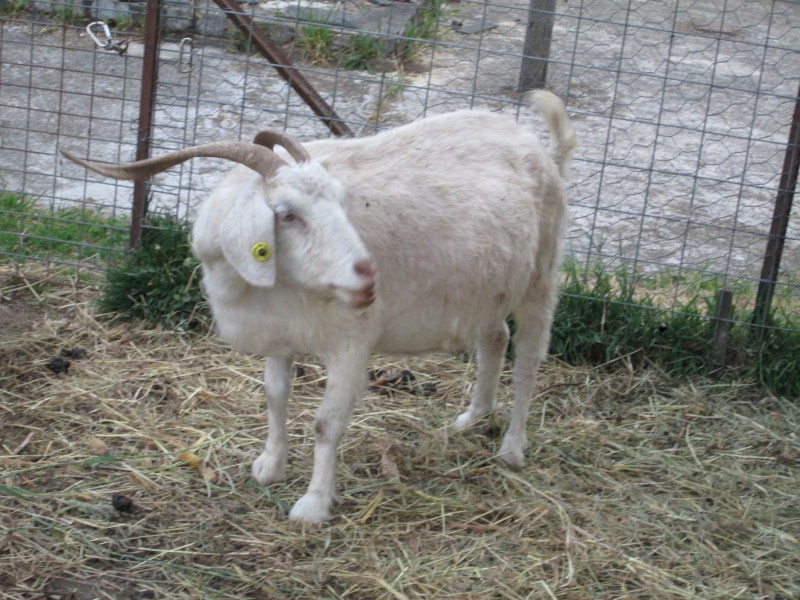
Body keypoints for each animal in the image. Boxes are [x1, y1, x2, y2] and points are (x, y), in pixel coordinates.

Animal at [61, 91, 575, 524]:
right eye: (286, 214)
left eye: (342, 202)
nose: (367, 277)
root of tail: (541, 149)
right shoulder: (280, 336)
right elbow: (275, 396)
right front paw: (270, 465)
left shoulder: (352, 341)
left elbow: (327, 424)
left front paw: (312, 505)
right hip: (490, 288)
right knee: (495, 339)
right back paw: (474, 418)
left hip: (542, 275)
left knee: (528, 362)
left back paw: (512, 449)